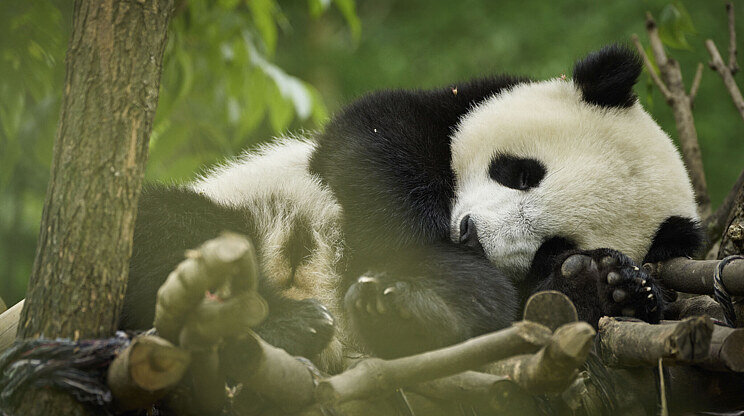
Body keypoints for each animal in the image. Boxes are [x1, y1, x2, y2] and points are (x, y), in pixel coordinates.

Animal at [122, 44, 704, 377]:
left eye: (554, 244)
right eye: (520, 172)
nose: (470, 236)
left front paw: (607, 284)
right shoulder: (439, 110)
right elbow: (373, 145)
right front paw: (450, 280)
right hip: (242, 216)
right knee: (172, 230)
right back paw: (290, 322)